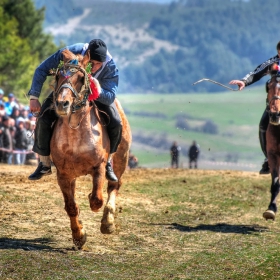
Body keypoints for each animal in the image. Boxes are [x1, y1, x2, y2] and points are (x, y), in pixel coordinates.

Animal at [49, 49, 132, 247]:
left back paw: (108, 222)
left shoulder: (99, 167)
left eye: (81, 77)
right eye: (58, 76)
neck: (76, 134)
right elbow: (71, 206)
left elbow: (96, 200)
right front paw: (79, 235)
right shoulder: (63, 175)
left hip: (121, 160)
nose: (62, 104)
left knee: (113, 186)